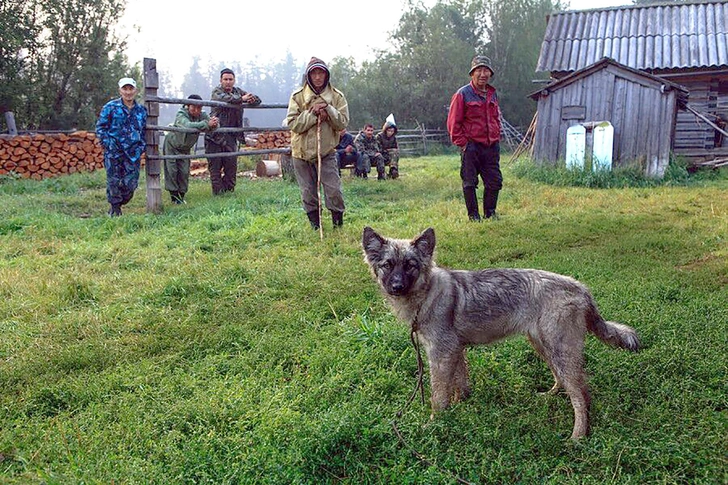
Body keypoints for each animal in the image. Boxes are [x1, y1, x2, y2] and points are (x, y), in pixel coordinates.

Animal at [362, 227, 636, 438]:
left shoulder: (441, 353)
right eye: (387, 265)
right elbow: (459, 386)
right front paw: (459, 407)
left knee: (581, 395)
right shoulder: (455, 350)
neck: (427, 293)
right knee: (562, 380)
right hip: (543, 346)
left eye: (410, 266)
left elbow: (438, 397)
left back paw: (578, 436)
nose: (396, 287)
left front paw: (434, 424)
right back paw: (550, 395)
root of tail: (581, 287)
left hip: (559, 350)